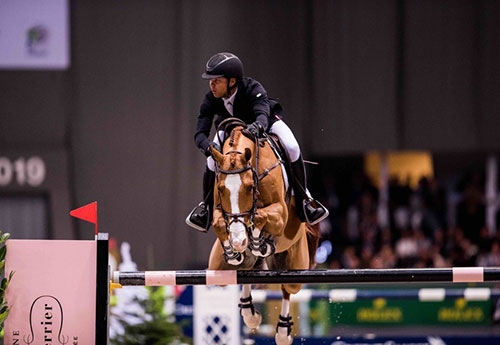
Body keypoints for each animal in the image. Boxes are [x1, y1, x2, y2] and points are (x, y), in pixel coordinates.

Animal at [208, 120, 320, 344]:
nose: (239, 241)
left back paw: (283, 332)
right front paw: (233, 248)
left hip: (295, 265)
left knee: (287, 289)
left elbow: (260, 215)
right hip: (218, 269)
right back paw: (249, 313)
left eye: (250, 188)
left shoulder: (280, 213)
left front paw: (257, 240)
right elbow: (219, 222)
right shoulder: (219, 210)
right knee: (245, 273)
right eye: (222, 189)